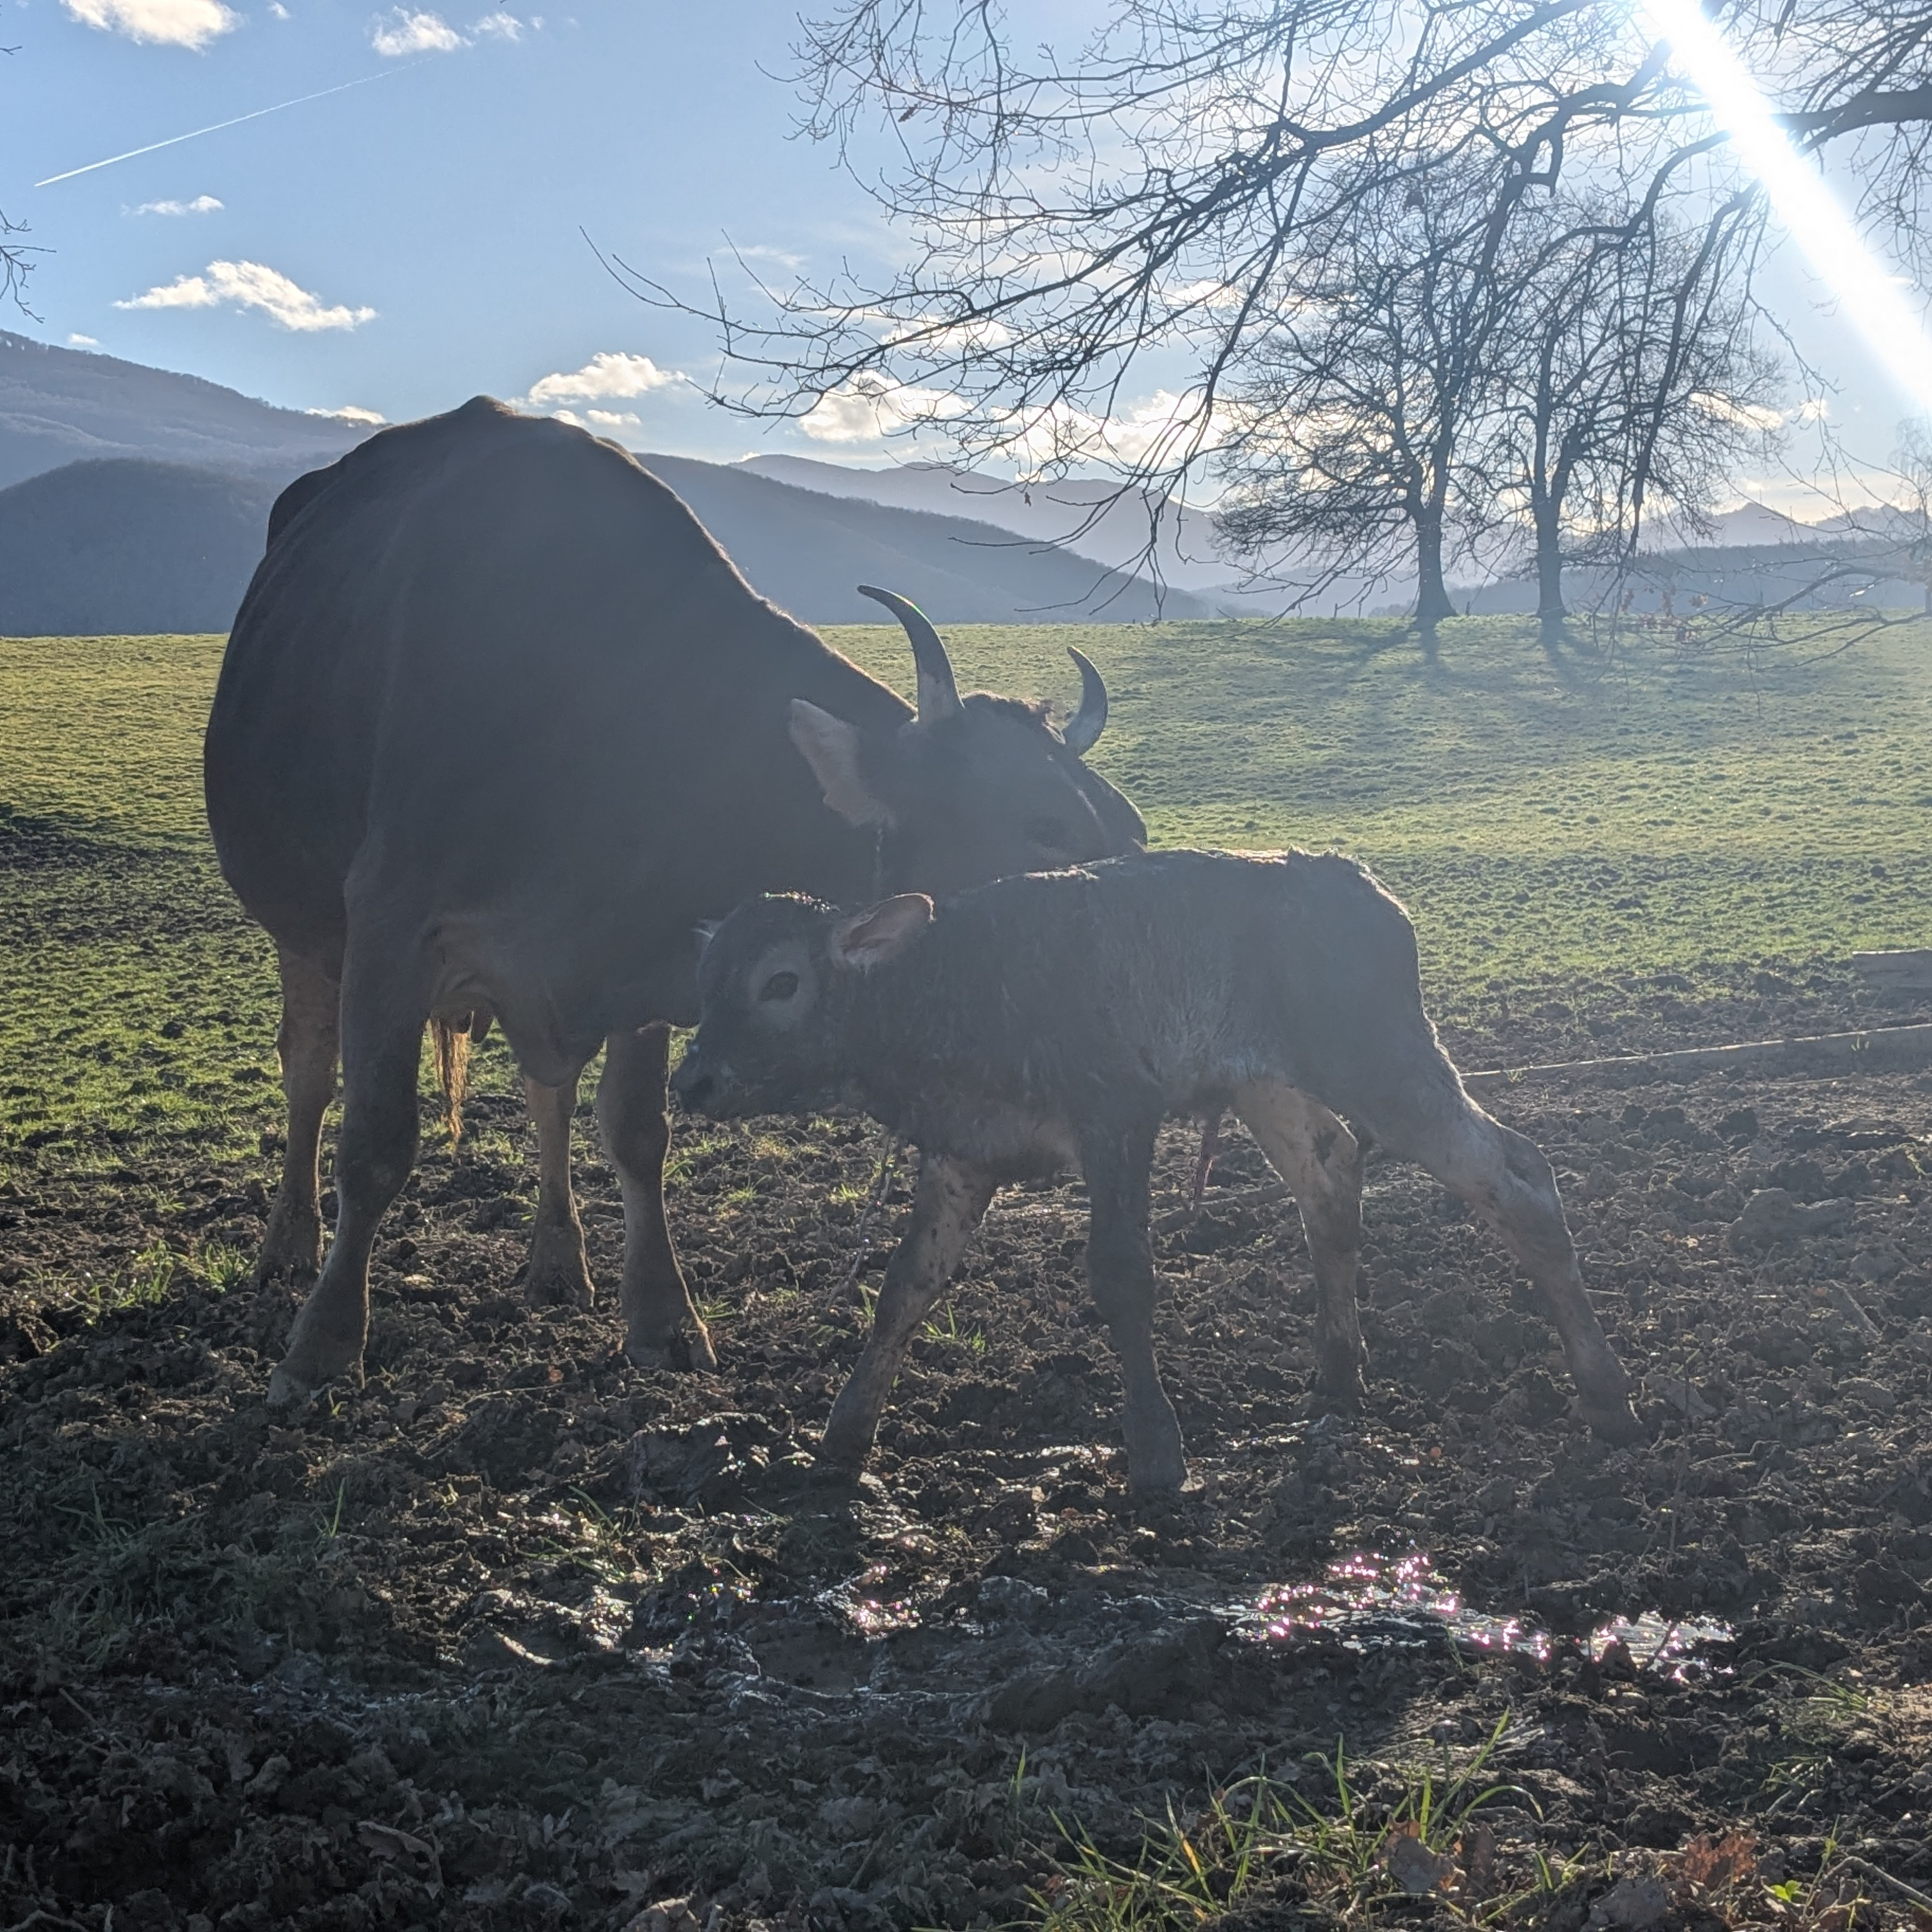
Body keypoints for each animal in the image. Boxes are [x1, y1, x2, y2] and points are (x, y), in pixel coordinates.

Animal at [203, 398, 1146, 1410]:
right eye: (1043, 824)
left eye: (1124, 823)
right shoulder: (391, 926)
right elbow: (375, 1138)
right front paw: (323, 1346)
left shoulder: (646, 954)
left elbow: (635, 1133)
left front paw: (660, 1316)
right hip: (303, 927)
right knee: (308, 1072)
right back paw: (288, 1245)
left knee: (546, 1091)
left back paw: (558, 1261)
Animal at [670, 849, 1643, 1492]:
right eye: (705, 978)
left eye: (782, 983)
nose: (692, 1081)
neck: (954, 992)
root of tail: (1362, 886)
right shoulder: (959, 1152)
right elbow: (906, 1285)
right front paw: (844, 1433)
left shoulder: (1116, 1111)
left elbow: (1122, 1275)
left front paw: (1157, 1452)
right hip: (1265, 1080)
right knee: (1330, 1179)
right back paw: (1336, 1374)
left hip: (1378, 1051)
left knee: (1516, 1177)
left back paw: (1607, 1397)